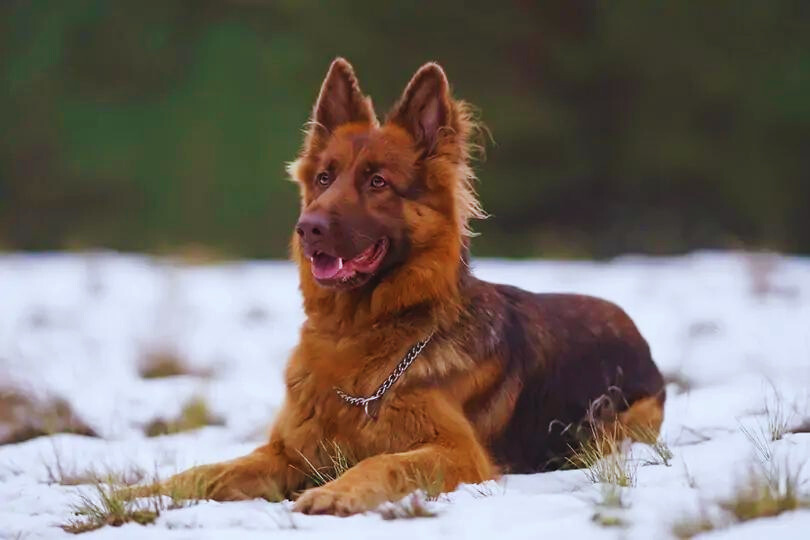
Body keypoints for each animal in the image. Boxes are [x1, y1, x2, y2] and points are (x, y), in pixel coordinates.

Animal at [153, 58, 664, 516]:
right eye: (324, 177)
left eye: (378, 181)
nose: (307, 229)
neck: (358, 336)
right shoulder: (286, 453)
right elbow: (204, 472)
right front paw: (145, 492)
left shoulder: (458, 453)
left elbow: (383, 463)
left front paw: (335, 493)